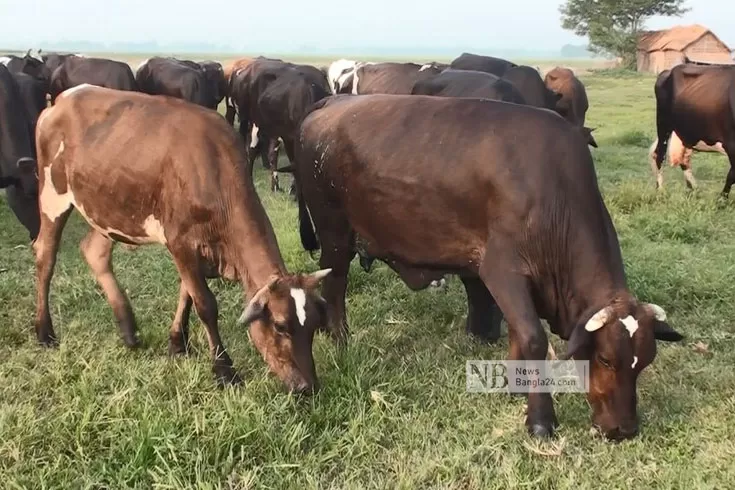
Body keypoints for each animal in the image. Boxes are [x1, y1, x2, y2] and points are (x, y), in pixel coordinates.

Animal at [29, 83, 330, 390]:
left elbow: (186, 292)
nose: (308, 386)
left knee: (94, 252)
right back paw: (45, 331)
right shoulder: (180, 242)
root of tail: (64, 99)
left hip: (108, 207)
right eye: (280, 325)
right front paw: (224, 369)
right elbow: (205, 304)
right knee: (45, 256)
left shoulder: (195, 248)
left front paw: (177, 342)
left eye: (315, 324)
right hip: (52, 196)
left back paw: (129, 329)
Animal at [230, 58, 330, 192]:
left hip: (273, 129)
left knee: (272, 153)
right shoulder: (289, 136)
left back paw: (275, 186)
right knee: (251, 149)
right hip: (253, 121)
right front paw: (294, 189)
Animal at [296, 93, 688, 440]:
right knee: (335, 284)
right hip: (334, 232)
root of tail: (332, 101)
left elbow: (518, 333)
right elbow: (533, 338)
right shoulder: (501, 271)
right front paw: (540, 419)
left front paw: (515, 387)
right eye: (606, 359)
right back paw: (341, 339)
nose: (625, 430)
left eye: (646, 361)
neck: (553, 194)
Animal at [656, 64, 735, 196]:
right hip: (663, 124)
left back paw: (692, 189)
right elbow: (732, 175)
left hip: (687, 132)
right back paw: (660, 191)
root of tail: (668, 71)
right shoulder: (731, 144)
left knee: (684, 159)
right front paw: (722, 198)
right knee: (659, 155)